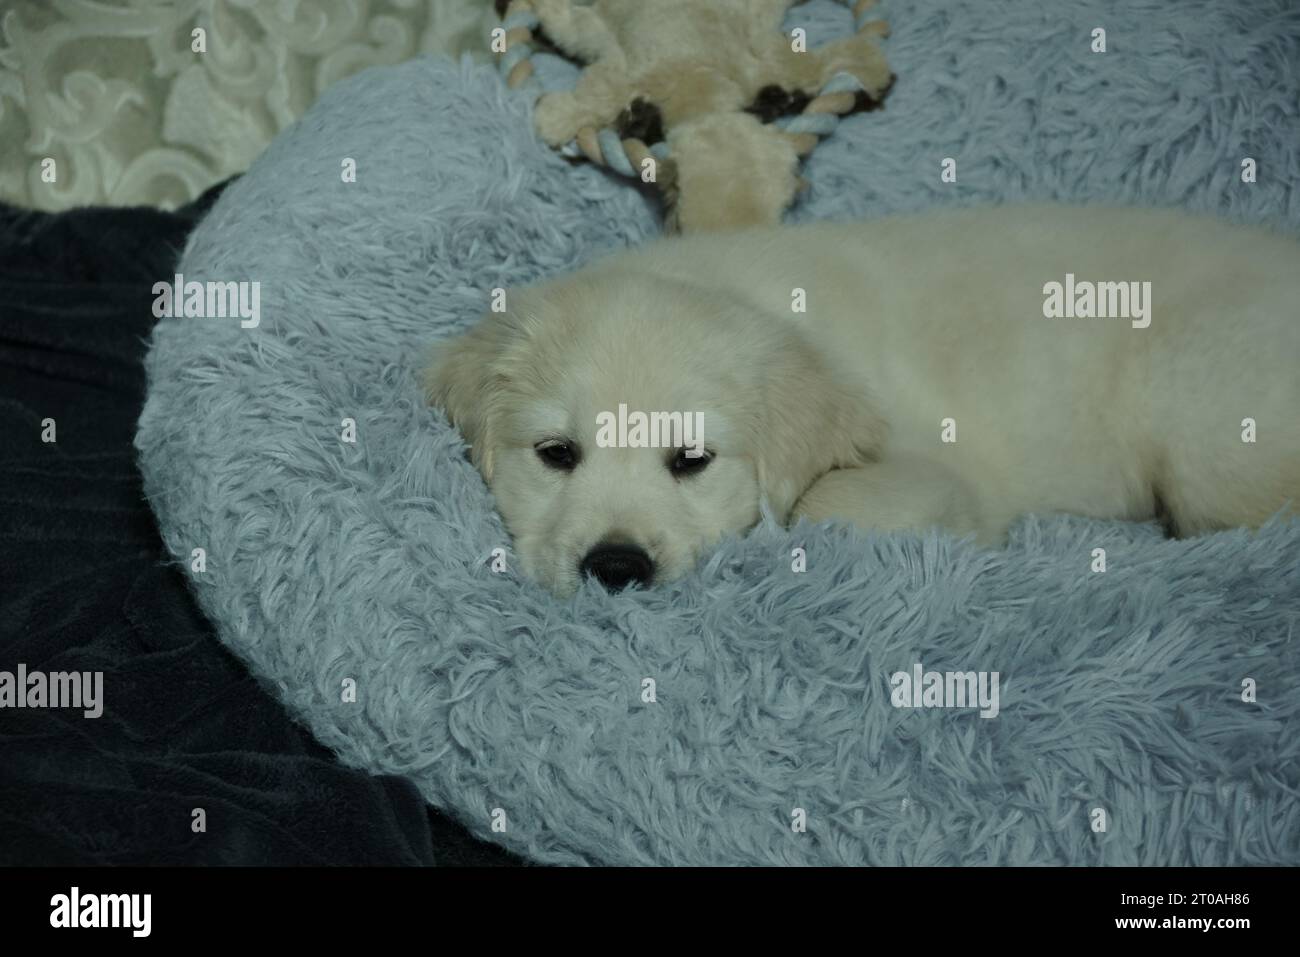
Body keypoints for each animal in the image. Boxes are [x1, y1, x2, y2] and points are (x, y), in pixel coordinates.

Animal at [426, 206, 1300, 595]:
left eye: (691, 460)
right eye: (556, 454)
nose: (616, 567)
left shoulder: (934, 472)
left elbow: (824, 503)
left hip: (1209, 433)